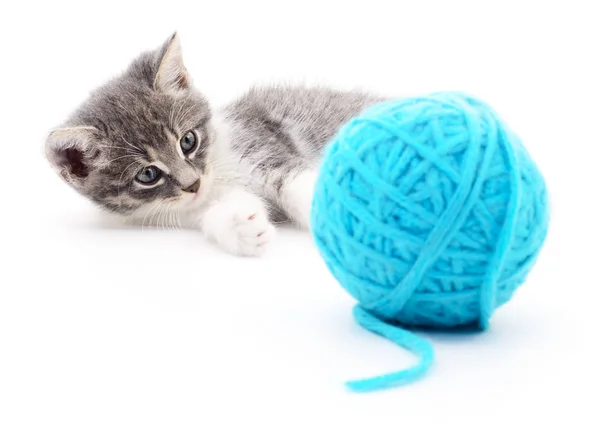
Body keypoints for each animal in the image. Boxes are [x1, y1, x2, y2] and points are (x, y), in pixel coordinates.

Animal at [47, 35, 382, 256]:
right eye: (147, 175)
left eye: (187, 141)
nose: (193, 183)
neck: (219, 174)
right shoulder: (193, 209)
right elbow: (218, 213)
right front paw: (241, 228)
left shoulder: (265, 143)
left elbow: (296, 184)